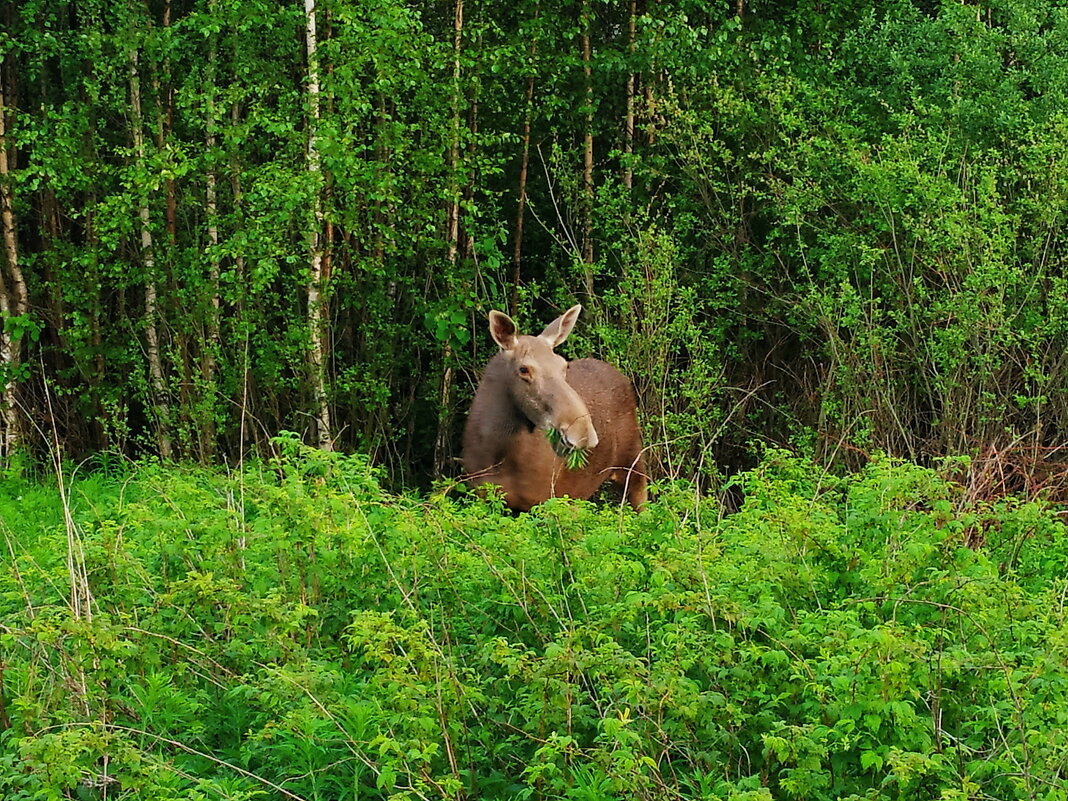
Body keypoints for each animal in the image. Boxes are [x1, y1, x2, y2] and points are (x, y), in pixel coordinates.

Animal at [457, 303, 640, 510]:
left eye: (564, 366)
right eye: (523, 369)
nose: (583, 432)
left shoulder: (546, 498)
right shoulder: (481, 494)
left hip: (633, 462)